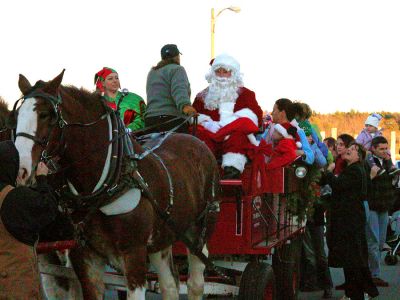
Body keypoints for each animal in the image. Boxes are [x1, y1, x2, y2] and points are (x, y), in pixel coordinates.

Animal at [14, 71, 220, 300]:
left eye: (45, 115)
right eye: (17, 116)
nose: (21, 169)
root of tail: (196, 141)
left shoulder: (134, 253)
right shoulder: (84, 256)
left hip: (200, 227)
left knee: (196, 280)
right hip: (162, 235)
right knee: (170, 285)